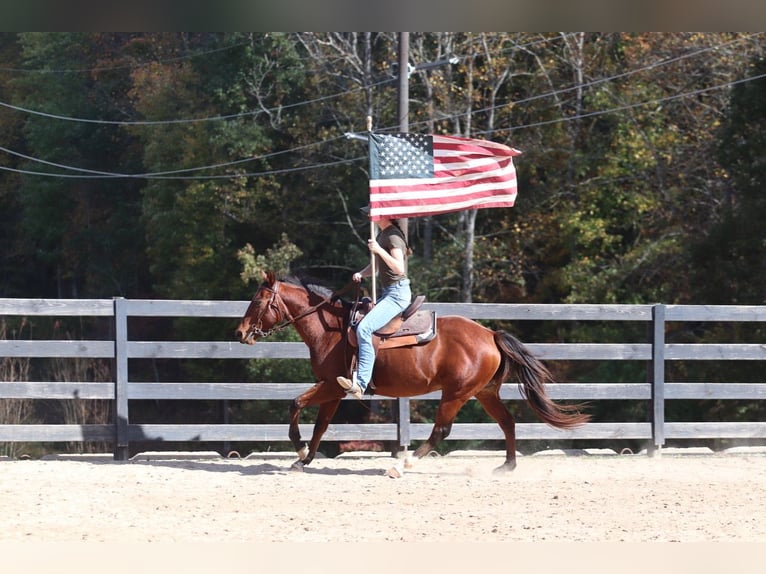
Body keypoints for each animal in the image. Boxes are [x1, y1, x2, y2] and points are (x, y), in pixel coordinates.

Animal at [237, 272, 592, 480]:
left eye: (258, 300)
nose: (240, 332)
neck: (332, 329)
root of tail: (490, 334)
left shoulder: (331, 387)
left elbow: (296, 404)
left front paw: (298, 451)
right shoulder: (334, 391)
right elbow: (321, 425)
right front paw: (305, 459)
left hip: (456, 394)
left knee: (441, 431)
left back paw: (401, 466)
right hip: (484, 392)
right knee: (507, 422)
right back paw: (506, 466)